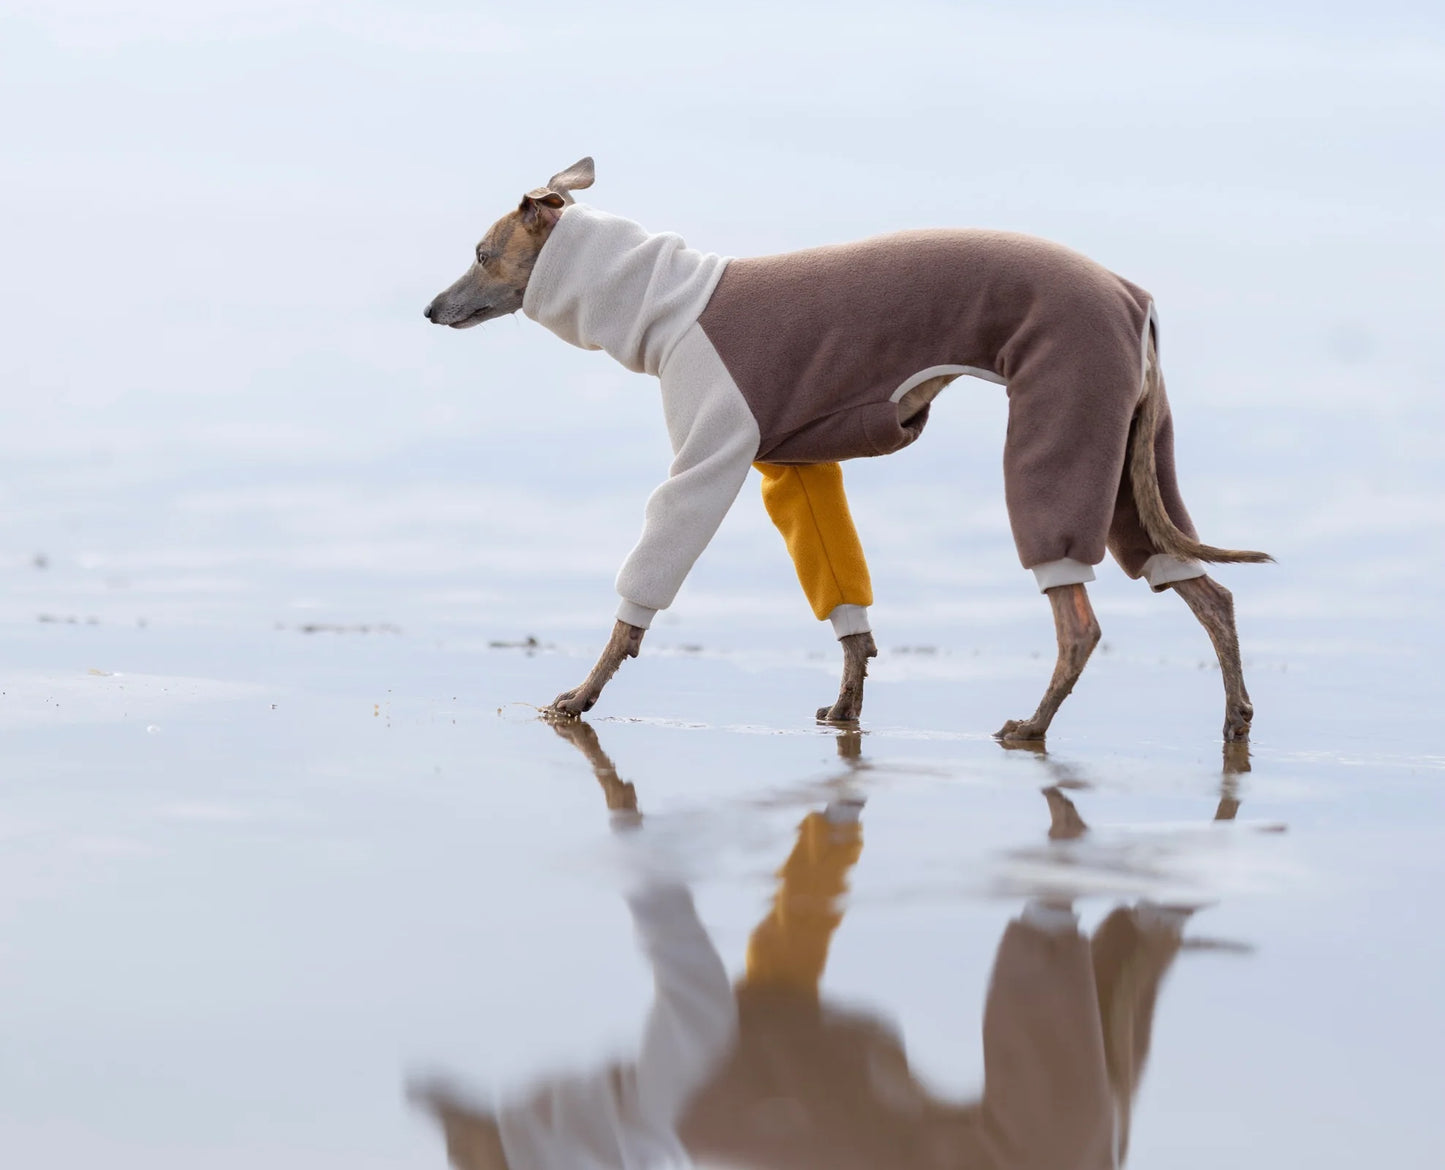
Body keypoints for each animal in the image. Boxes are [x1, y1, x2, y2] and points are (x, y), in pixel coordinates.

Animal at [421, 157, 1271, 739]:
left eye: (482, 252)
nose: (428, 309)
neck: (666, 299)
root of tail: (1133, 298)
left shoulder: (710, 457)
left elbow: (638, 598)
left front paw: (581, 695)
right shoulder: (796, 469)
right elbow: (844, 602)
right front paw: (847, 706)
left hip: (1060, 427)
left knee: (1079, 624)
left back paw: (1032, 727)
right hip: (1129, 462)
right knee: (1206, 592)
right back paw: (1234, 718)